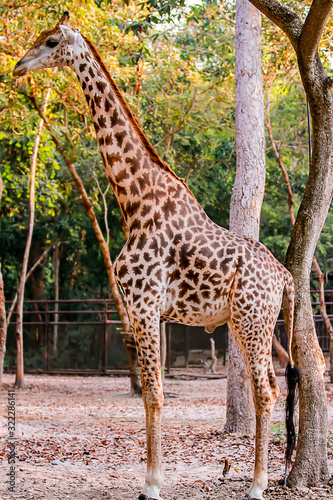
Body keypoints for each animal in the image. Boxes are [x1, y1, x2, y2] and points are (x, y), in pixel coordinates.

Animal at [13, 12, 300, 500]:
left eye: (50, 42)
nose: (18, 65)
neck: (134, 202)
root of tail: (285, 276)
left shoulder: (145, 304)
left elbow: (154, 393)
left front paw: (151, 484)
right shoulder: (140, 308)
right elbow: (152, 392)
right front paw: (151, 479)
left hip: (253, 320)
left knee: (265, 391)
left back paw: (258, 485)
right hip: (248, 323)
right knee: (271, 387)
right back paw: (263, 477)